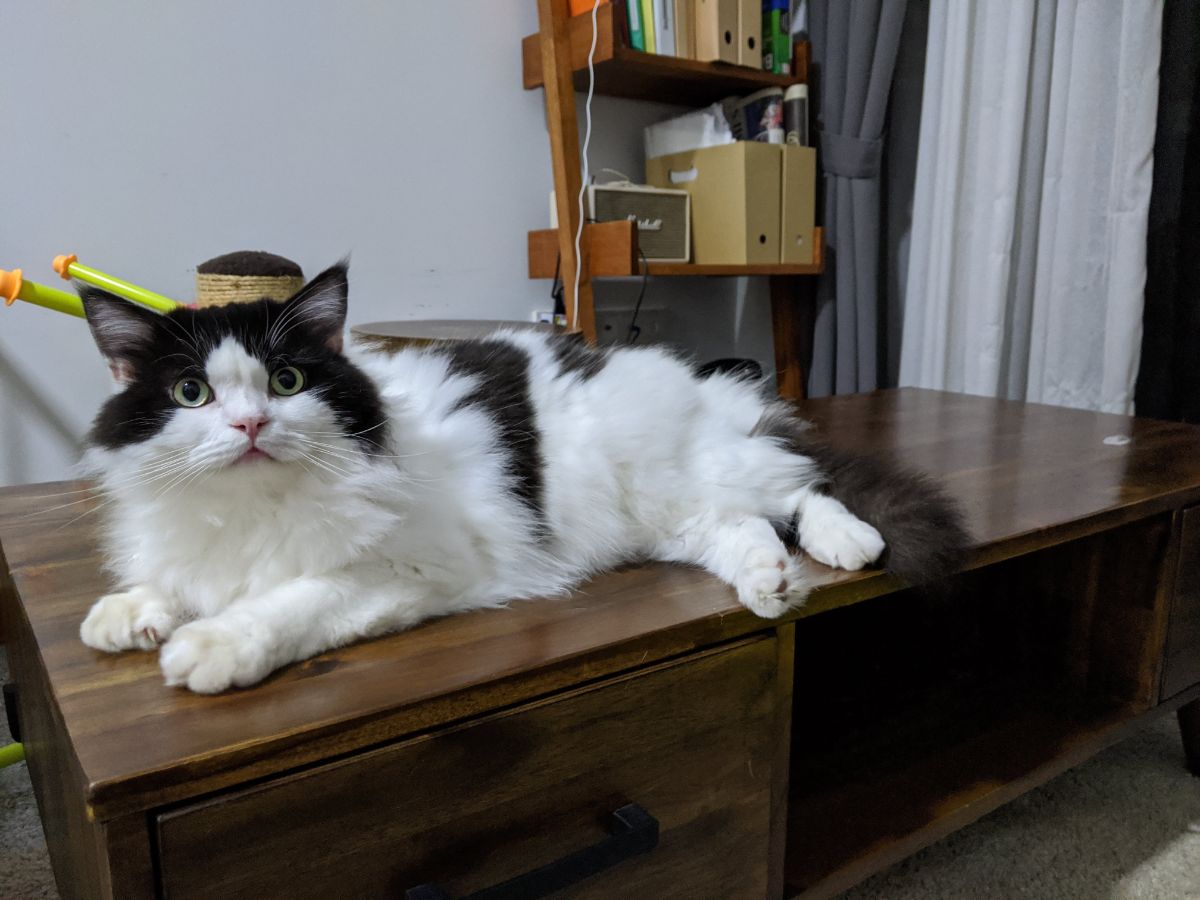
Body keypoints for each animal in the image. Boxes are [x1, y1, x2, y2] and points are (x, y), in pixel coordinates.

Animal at [75, 264, 969, 696]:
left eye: (287, 381)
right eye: (192, 394)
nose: (250, 427)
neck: (254, 506)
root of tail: (714, 388)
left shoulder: (412, 568)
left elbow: (292, 603)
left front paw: (215, 646)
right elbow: (174, 579)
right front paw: (128, 612)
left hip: (693, 474)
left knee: (804, 487)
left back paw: (850, 543)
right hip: (674, 516)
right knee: (747, 528)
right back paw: (770, 585)